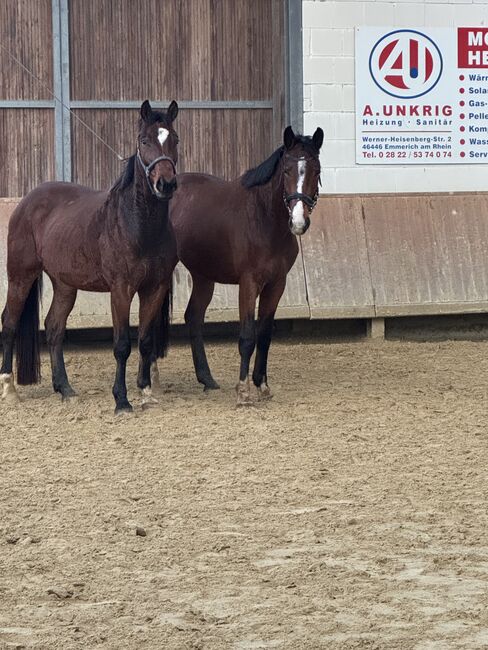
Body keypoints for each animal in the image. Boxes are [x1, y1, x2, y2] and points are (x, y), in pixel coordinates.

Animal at [0, 98, 179, 412]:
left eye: (176, 140)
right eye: (144, 140)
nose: (165, 184)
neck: (137, 225)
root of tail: (27, 202)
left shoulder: (154, 289)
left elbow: (145, 341)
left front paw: (146, 393)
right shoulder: (121, 290)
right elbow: (122, 345)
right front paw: (121, 400)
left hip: (64, 284)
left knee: (54, 327)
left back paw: (65, 388)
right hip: (21, 275)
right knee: (9, 322)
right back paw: (9, 389)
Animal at [157, 124, 324, 402]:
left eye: (316, 171)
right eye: (287, 170)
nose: (299, 222)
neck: (263, 218)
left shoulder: (276, 284)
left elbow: (264, 335)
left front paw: (262, 384)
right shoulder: (249, 283)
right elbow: (247, 335)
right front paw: (244, 390)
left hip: (203, 275)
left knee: (193, 316)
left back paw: (207, 379)